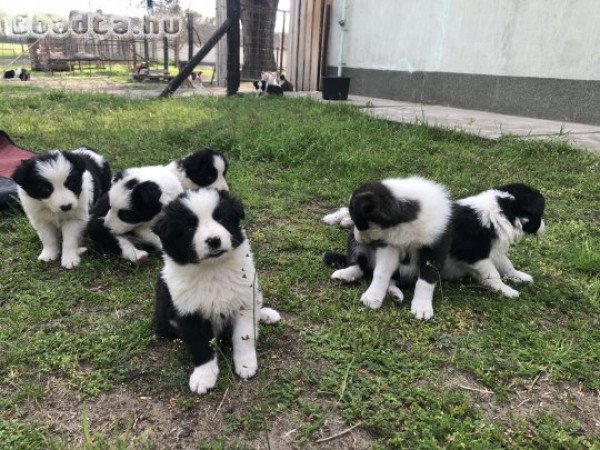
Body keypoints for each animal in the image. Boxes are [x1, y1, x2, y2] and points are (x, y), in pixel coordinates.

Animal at [88, 149, 229, 262]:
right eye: (209, 177)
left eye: (223, 174)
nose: (226, 192)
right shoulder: (142, 228)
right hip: (99, 227)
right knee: (118, 241)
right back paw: (138, 255)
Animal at [152, 188, 278, 396]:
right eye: (189, 228)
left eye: (221, 219)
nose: (214, 240)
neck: (213, 269)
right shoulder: (189, 312)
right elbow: (200, 345)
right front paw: (203, 377)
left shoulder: (243, 302)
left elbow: (244, 336)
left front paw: (246, 365)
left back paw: (266, 314)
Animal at [326, 176, 452, 320]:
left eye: (358, 222)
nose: (356, 235)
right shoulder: (388, 246)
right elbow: (381, 272)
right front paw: (372, 297)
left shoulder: (435, 247)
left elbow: (426, 280)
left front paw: (422, 307)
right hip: (356, 247)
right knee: (361, 266)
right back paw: (345, 274)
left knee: (394, 280)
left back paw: (395, 294)